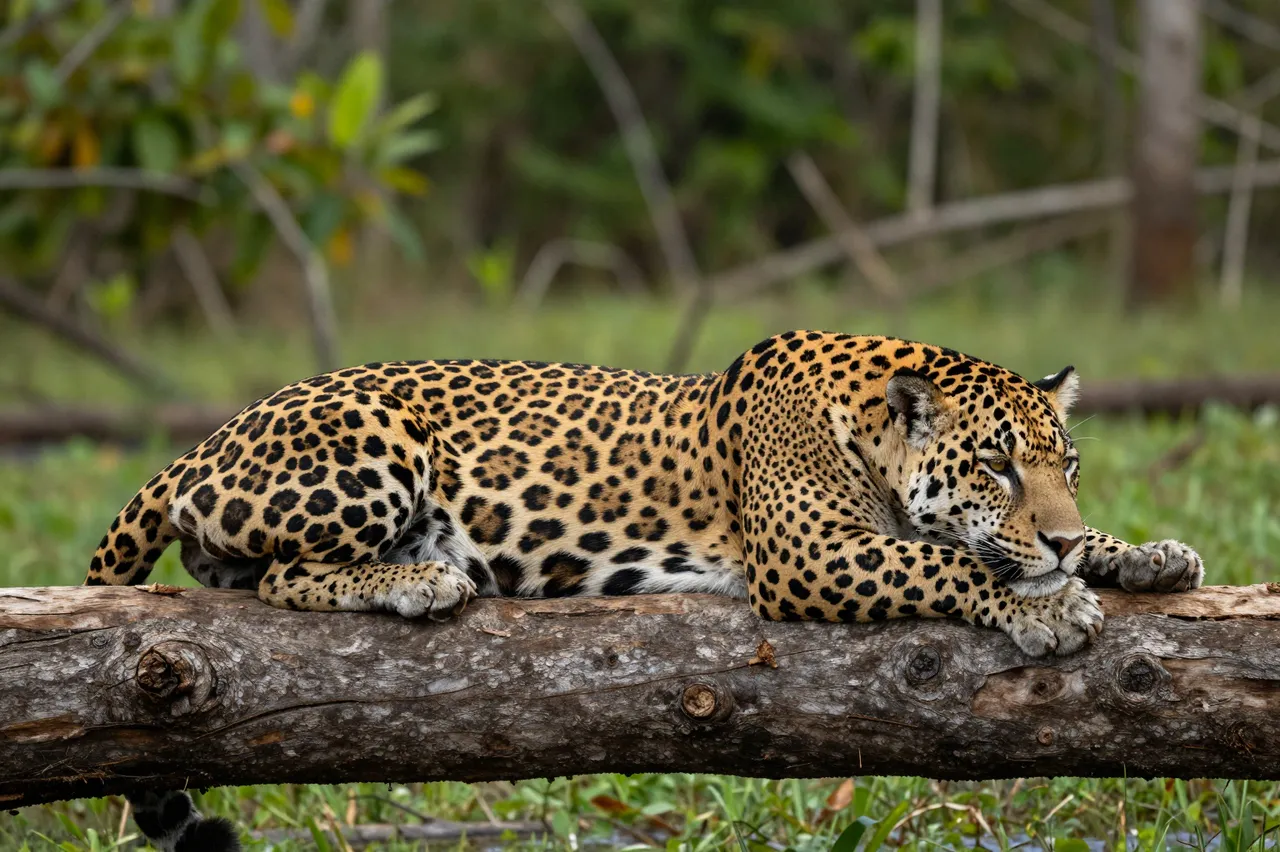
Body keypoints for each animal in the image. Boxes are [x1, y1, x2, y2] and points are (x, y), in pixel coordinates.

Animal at [84, 331, 1203, 852]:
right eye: (996, 467)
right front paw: (1046, 602)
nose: (1059, 534)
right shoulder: (806, 554)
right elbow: (943, 559)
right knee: (274, 576)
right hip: (375, 446)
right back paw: (419, 578)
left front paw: (1140, 554)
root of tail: (204, 443)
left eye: (1066, 464)